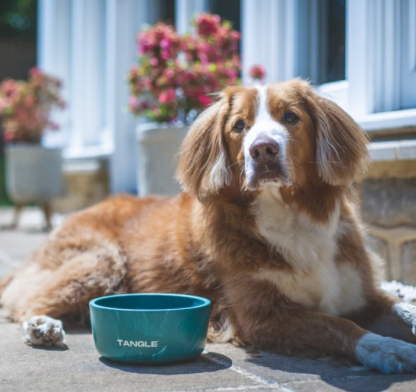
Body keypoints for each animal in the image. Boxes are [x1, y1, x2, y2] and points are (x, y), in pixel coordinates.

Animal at [0, 77, 416, 374]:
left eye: (291, 118)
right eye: (239, 125)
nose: (263, 149)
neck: (290, 216)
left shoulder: (360, 293)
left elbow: (399, 310)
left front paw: (400, 320)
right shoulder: (261, 319)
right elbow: (338, 326)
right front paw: (387, 348)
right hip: (102, 259)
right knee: (25, 301)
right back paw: (43, 326)